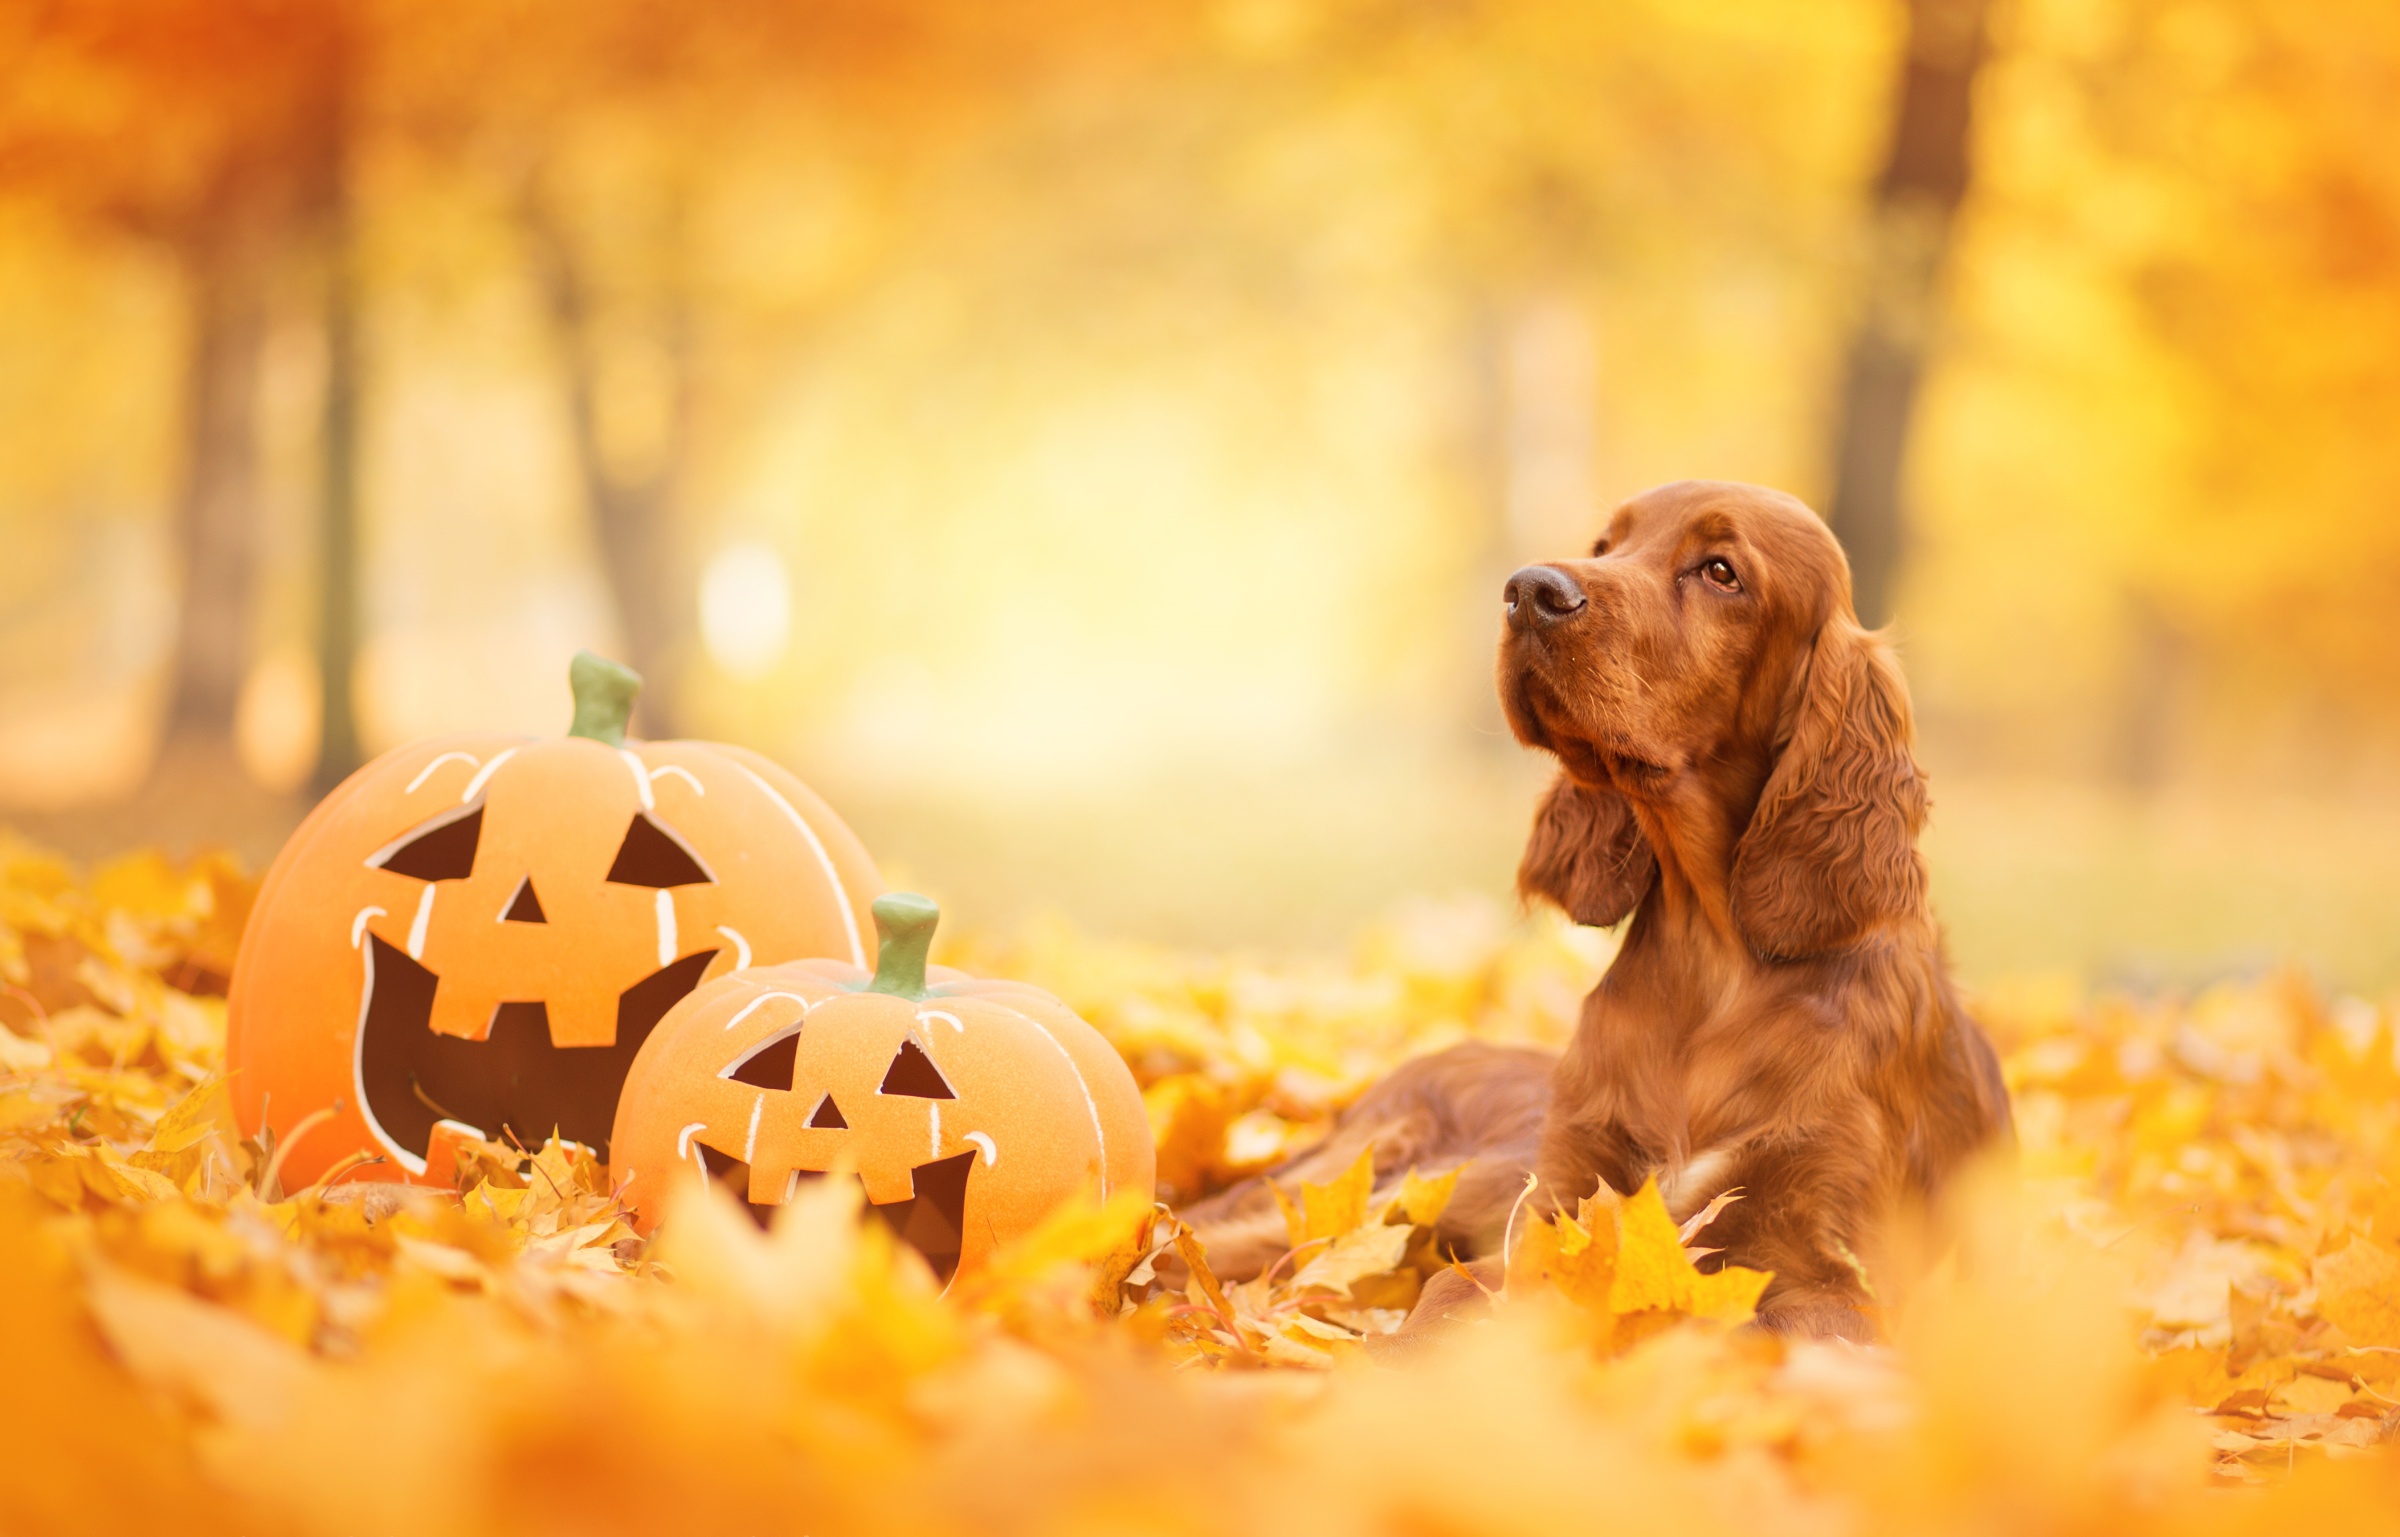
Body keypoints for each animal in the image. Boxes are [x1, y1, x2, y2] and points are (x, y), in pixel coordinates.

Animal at [1180, 482, 2006, 1344]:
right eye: (1605, 546)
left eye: (1721, 571)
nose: (1528, 591)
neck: (1715, 964)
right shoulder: (1554, 1219)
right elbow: (1449, 1296)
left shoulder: (1836, 1279)